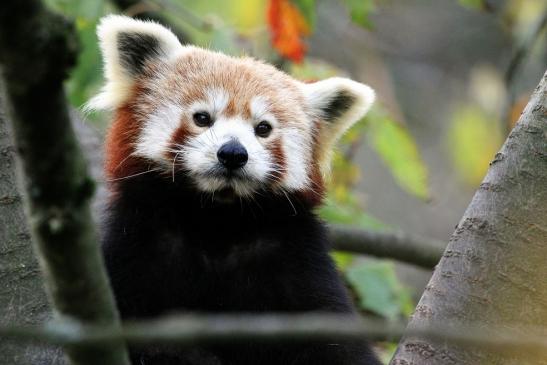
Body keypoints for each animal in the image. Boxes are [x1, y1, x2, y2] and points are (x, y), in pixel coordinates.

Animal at [91, 14, 382, 364]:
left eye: (263, 128)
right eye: (202, 118)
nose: (232, 153)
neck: (218, 224)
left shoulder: (297, 260)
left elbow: (336, 344)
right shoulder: (137, 247)